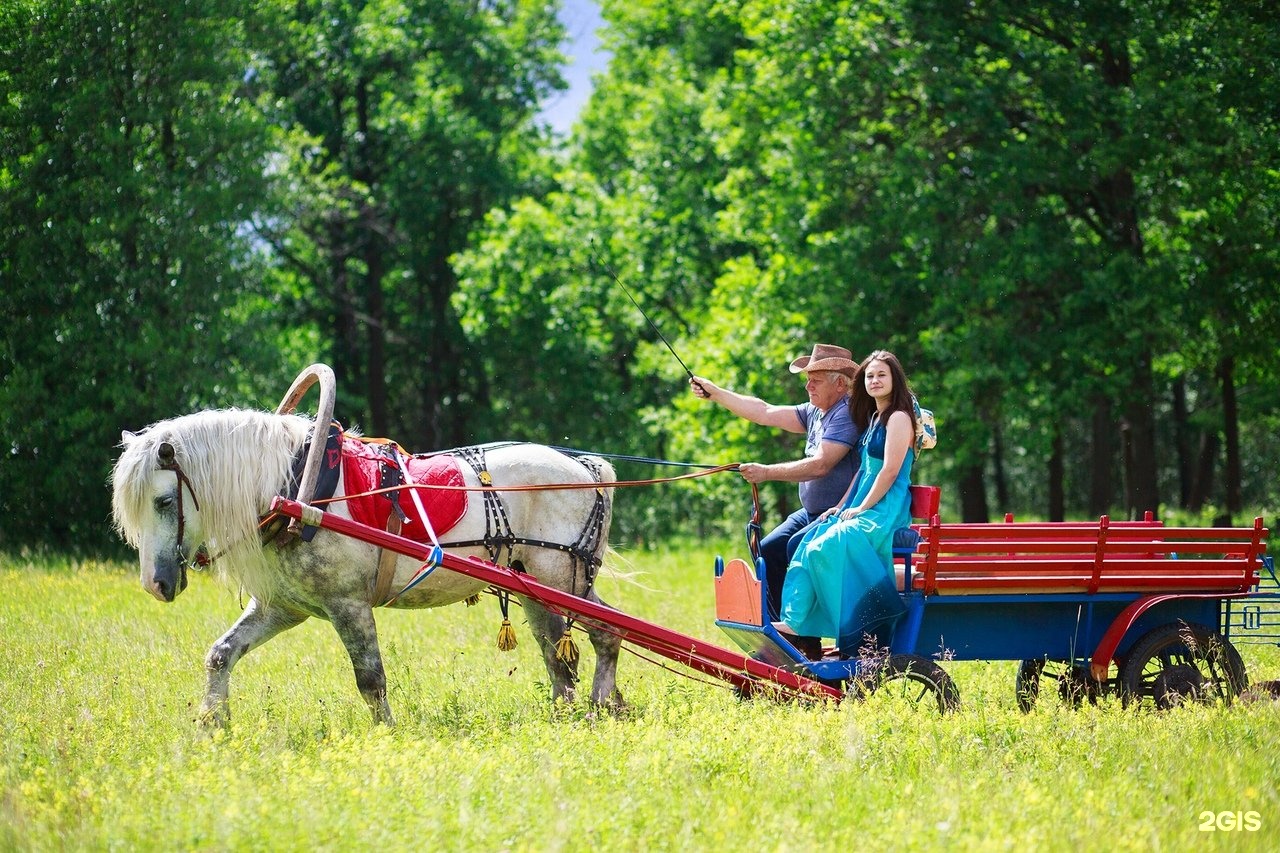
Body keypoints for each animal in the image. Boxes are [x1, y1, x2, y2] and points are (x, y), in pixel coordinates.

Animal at [112, 409, 622, 727]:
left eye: (163, 502)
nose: (155, 584)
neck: (298, 488)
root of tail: (587, 467)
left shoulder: (348, 605)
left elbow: (371, 679)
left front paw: (388, 734)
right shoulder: (283, 607)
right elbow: (220, 653)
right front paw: (212, 723)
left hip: (564, 578)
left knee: (605, 633)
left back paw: (600, 705)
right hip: (536, 585)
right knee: (558, 653)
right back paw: (569, 714)